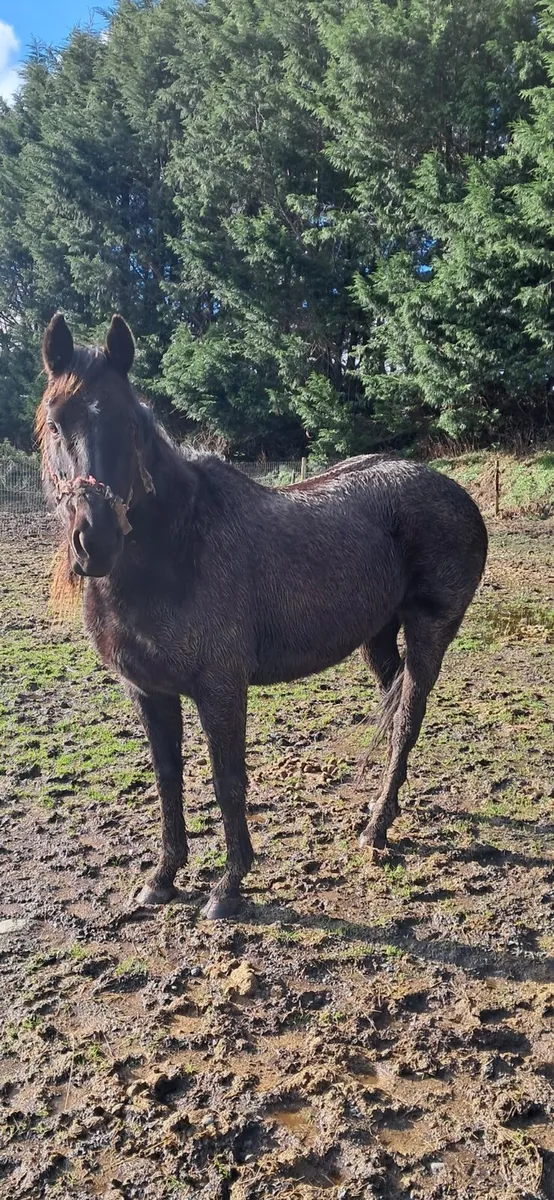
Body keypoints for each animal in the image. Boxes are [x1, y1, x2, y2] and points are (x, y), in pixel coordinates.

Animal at [38, 313, 488, 919]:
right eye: (55, 424)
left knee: (408, 717)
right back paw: (384, 810)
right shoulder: (149, 692)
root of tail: (457, 493)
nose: (95, 542)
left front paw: (228, 886)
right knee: (395, 713)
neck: (176, 550)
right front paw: (162, 877)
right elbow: (167, 779)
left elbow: (227, 780)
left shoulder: (221, 687)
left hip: (428, 634)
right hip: (377, 638)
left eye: (129, 423)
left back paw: (375, 831)